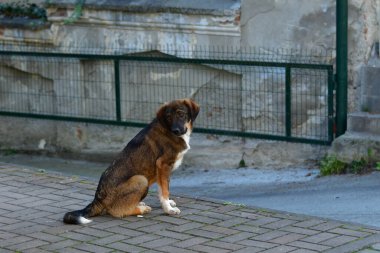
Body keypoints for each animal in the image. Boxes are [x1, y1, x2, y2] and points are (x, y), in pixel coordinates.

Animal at [63, 98, 199, 224]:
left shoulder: (163, 171)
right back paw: (141, 209)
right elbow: (164, 190)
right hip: (141, 179)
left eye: (181, 114)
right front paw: (168, 209)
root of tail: (98, 199)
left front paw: (168, 203)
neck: (168, 129)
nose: (176, 131)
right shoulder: (163, 165)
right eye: (168, 117)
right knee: (117, 211)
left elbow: (164, 188)